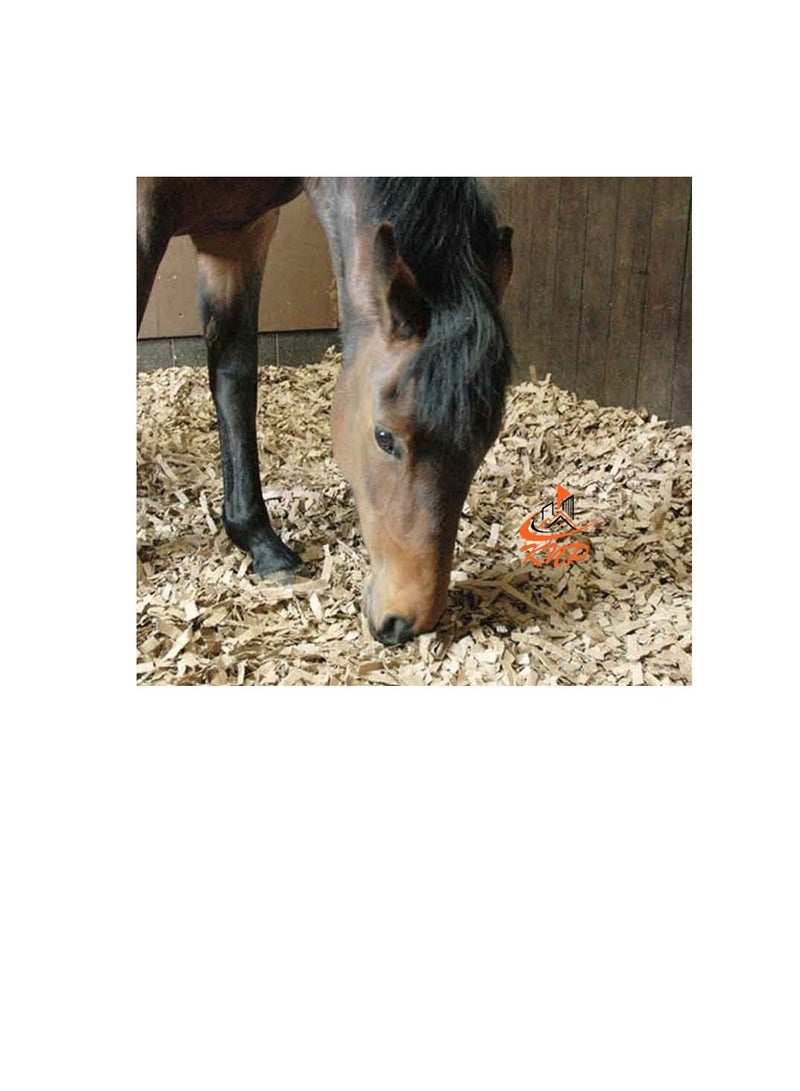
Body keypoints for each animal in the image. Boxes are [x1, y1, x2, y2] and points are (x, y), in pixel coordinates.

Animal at [137, 178, 514, 645]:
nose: (405, 622)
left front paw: (262, 543)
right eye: (384, 437)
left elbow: (233, 379)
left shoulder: (239, 230)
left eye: (484, 445)